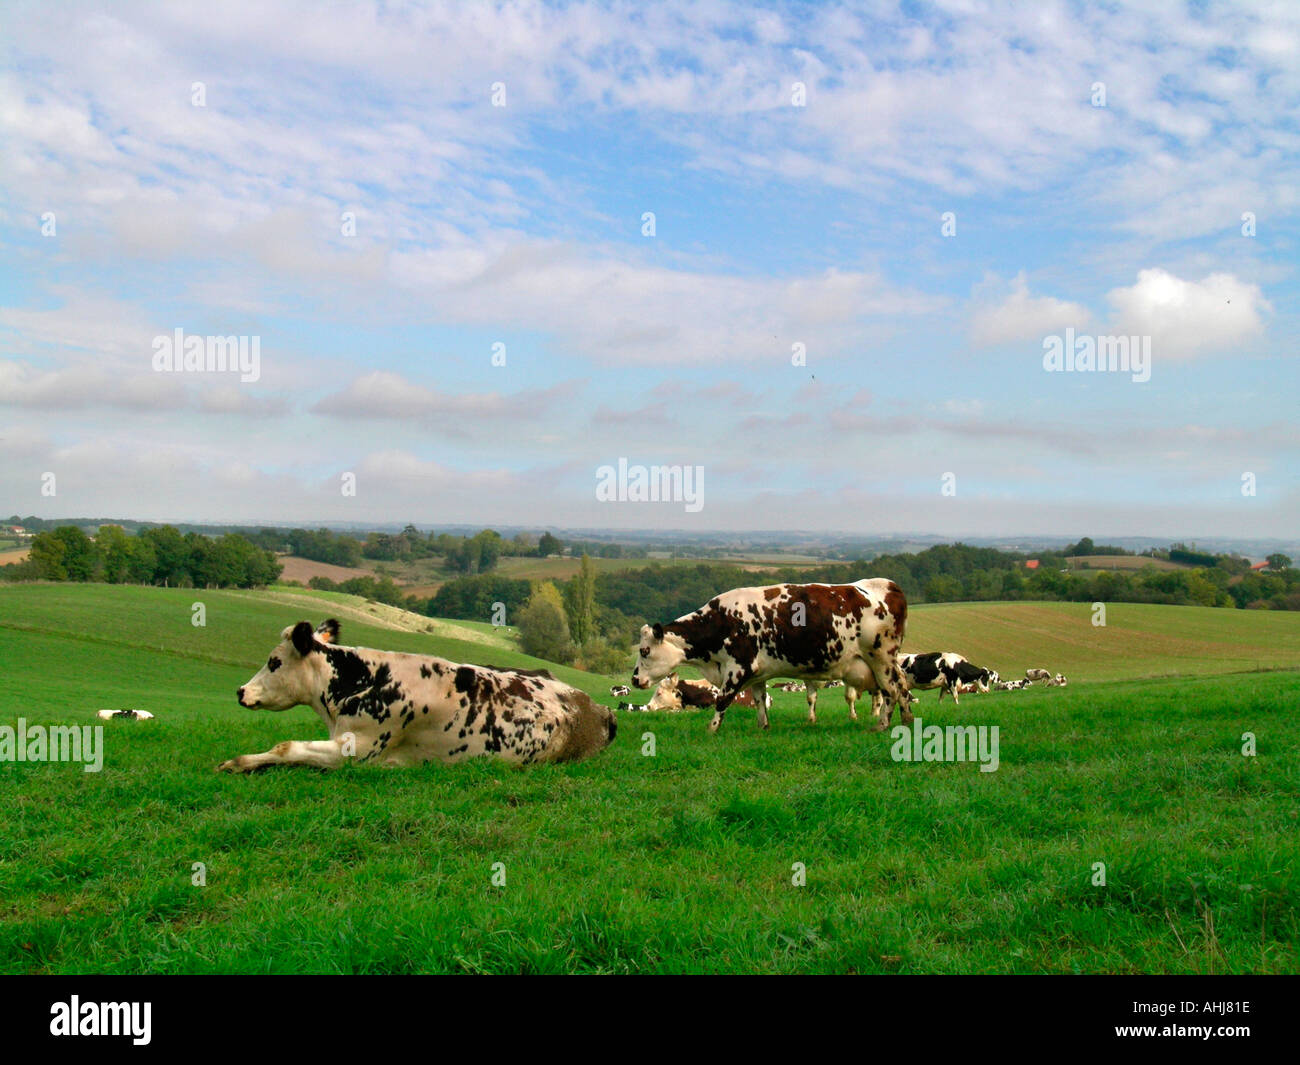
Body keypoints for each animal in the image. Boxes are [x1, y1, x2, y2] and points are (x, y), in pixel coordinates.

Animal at [220, 616, 616, 775]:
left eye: (274, 661)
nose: (240, 690)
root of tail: (598, 708)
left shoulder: (357, 751)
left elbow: (287, 747)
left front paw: (238, 763)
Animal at [634, 582, 909, 733]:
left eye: (644, 651)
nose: (635, 679)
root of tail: (888, 585)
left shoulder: (738, 667)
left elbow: (722, 701)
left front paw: (711, 730)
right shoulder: (757, 673)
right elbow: (759, 700)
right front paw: (762, 726)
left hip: (880, 658)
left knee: (892, 690)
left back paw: (882, 725)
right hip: (888, 662)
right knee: (903, 689)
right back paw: (906, 721)